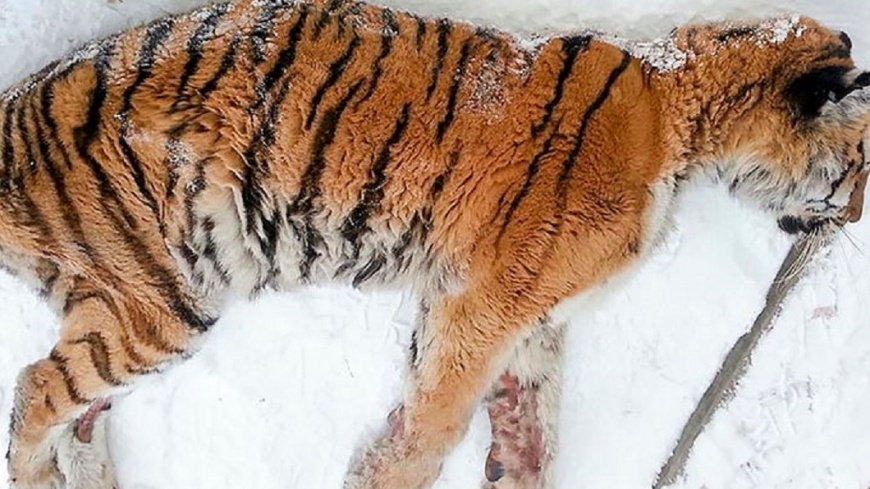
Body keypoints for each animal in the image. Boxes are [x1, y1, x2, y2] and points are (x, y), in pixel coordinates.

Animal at [1, 0, 869, 487]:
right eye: (860, 166)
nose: (857, 220)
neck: (683, 114)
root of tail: (13, 107)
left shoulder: (533, 310)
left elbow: (534, 411)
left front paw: (514, 464)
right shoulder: (489, 297)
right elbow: (439, 414)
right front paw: (381, 476)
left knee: (75, 405)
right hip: (165, 295)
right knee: (36, 386)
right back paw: (39, 479)